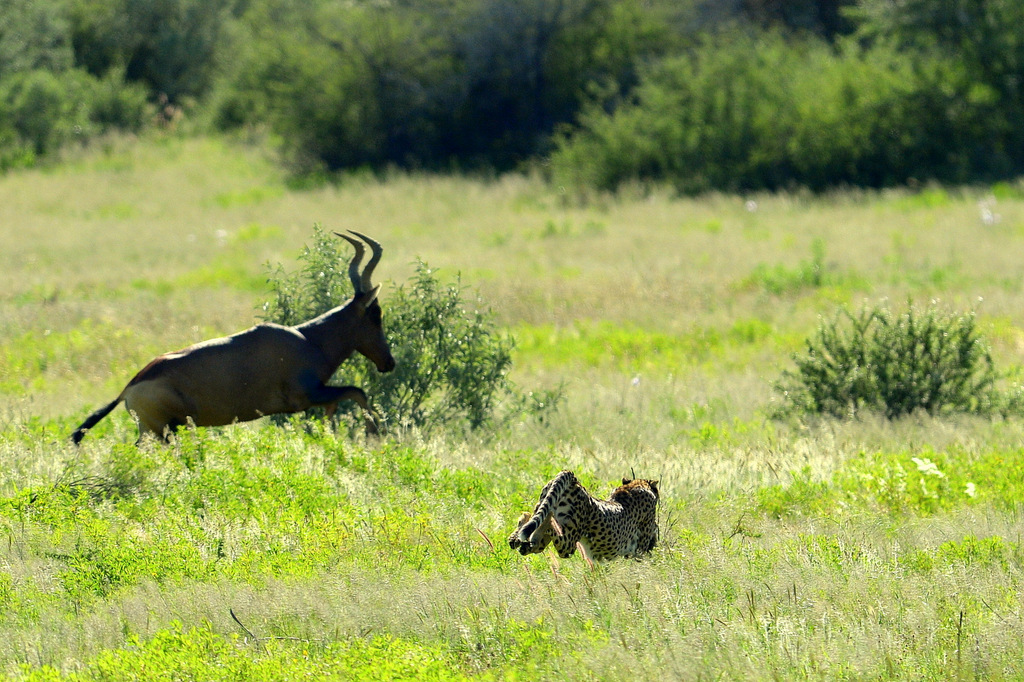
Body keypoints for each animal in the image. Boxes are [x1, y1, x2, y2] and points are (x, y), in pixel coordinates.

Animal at [69, 229, 395, 440]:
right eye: (376, 314)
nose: (388, 363)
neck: (307, 339)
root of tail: (128, 388)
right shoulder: (304, 396)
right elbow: (356, 391)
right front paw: (374, 435)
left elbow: (339, 403)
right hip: (161, 430)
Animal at [507, 471, 659, 561]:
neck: (634, 486)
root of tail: (574, 480)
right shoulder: (639, 552)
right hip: (569, 544)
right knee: (551, 527)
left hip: (542, 522)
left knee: (531, 537)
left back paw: (517, 533)